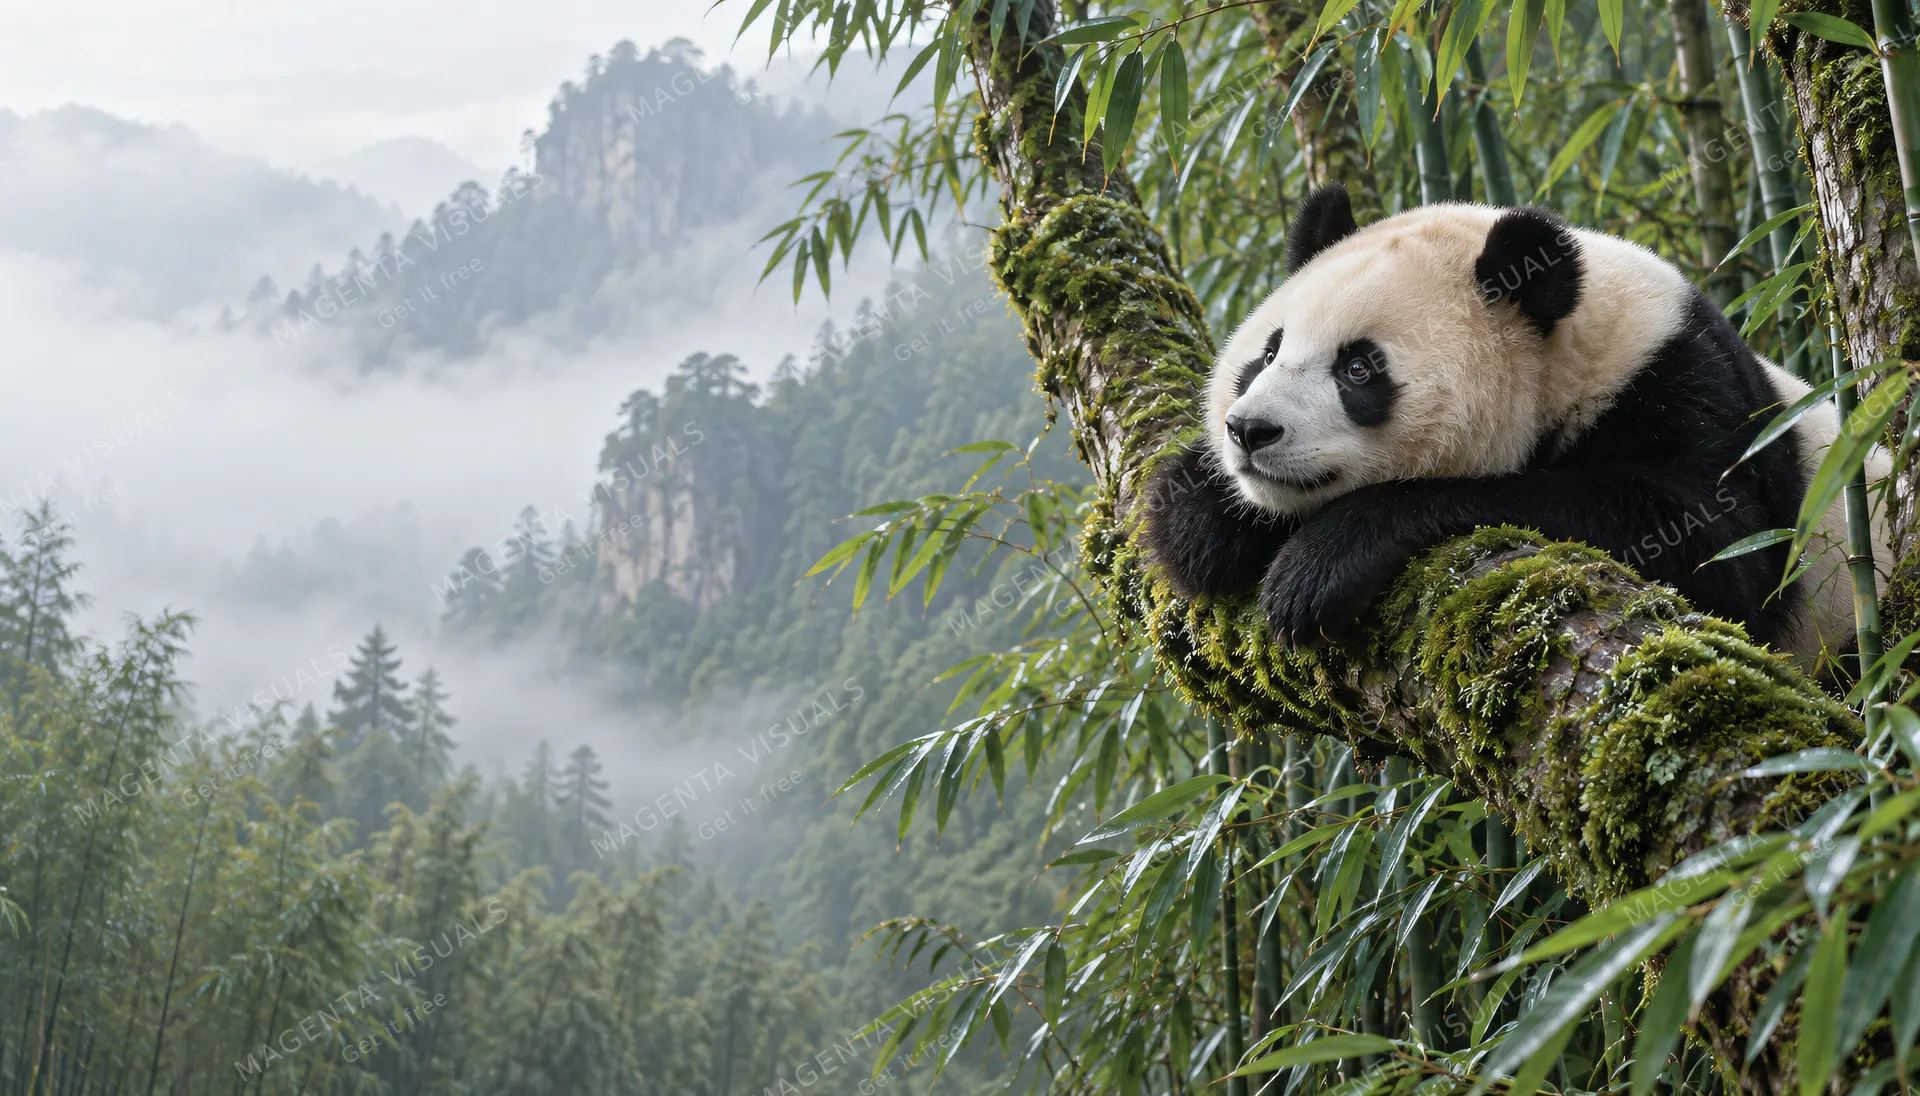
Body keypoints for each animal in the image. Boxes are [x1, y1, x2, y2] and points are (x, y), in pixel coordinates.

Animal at [1144, 184, 1888, 668]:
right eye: (1268, 352)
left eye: (1358, 369)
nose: (1250, 432)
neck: (1579, 350)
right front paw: (1201, 518)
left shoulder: (1693, 395)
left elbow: (1713, 549)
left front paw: (1320, 566)